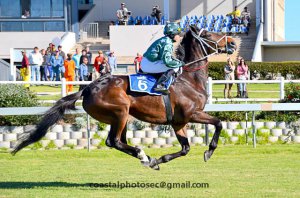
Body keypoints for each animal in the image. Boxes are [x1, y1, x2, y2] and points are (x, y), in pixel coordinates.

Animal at [12, 25, 237, 170]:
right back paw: (143, 155)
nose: (233, 42)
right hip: (120, 112)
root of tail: (88, 88)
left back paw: (147, 159)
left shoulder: (178, 122)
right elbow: (218, 123)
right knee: (114, 141)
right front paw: (209, 151)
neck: (190, 80)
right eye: (208, 33)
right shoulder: (192, 114)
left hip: (121, 117)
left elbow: (185, 148)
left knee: (119, 141)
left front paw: (160, 160)